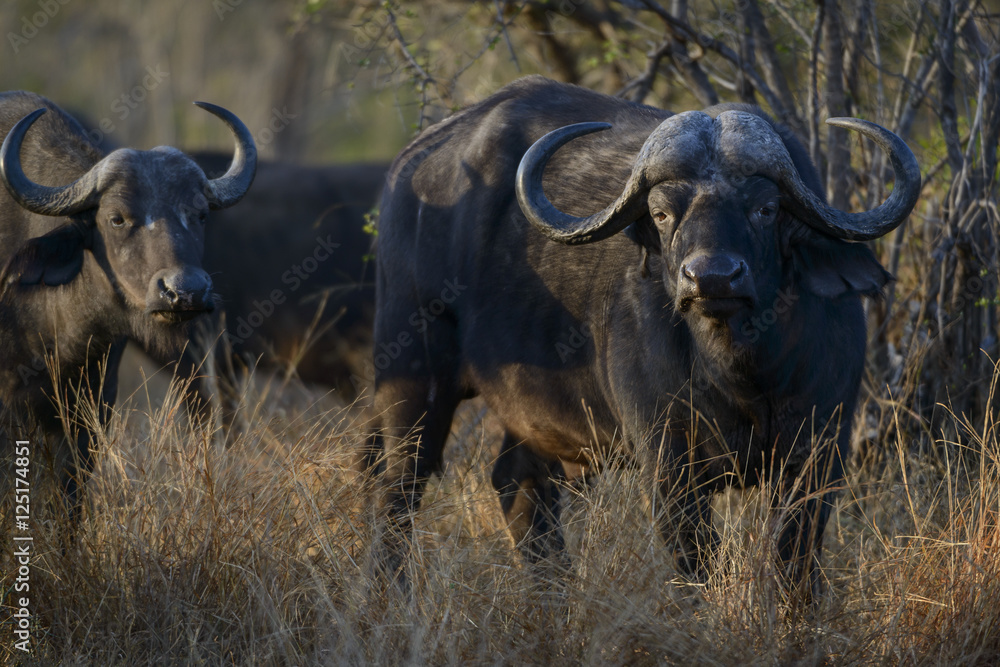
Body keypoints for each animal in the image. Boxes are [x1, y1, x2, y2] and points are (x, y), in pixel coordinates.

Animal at [366, 76, 919, 600]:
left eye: (765, 208)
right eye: (661, 213)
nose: (712, 277)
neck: (741, 371)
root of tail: (409, 167)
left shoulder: (819, 455)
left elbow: (793, 561)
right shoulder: (668, 466)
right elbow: (697, 566)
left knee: (518, 482)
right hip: (411, 373)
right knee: (399, 486)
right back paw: (388, 597)